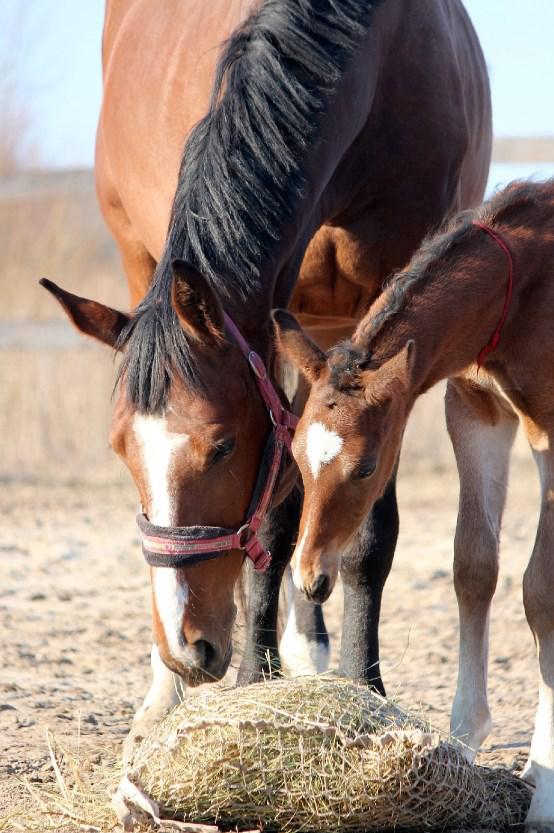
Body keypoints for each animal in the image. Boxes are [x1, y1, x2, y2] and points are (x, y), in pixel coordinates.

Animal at [40, 0, 491, 761]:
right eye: (119, 451)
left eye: (222, 446)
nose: (190, 647)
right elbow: (279, 518)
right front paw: (255, 678)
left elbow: (360, 523)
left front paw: (362, 686)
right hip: (145, 260)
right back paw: (166, 693)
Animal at [272, 179, 554, 826]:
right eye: (295, 454)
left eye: (366, 466)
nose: (310, 578)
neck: (526, 289)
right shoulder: (476, 410)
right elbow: (474, 568)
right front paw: (465, 741)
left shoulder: (551, 430)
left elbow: (540, 590)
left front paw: (548, 788)